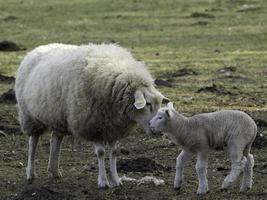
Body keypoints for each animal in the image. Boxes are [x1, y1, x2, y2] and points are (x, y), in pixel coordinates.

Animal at [14, 43, 169, 188]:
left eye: (159, 104)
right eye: (148, 104)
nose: (157, 130)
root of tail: (37, 49)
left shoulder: (114, 127)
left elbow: (114, 153)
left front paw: (116, 180)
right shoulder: (93, 125)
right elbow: (100, 153)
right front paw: (103, 182)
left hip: (58, 117)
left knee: (55, 140)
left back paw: (54, 171)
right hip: (29, 116)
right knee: (33, 143)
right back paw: (30, 173)